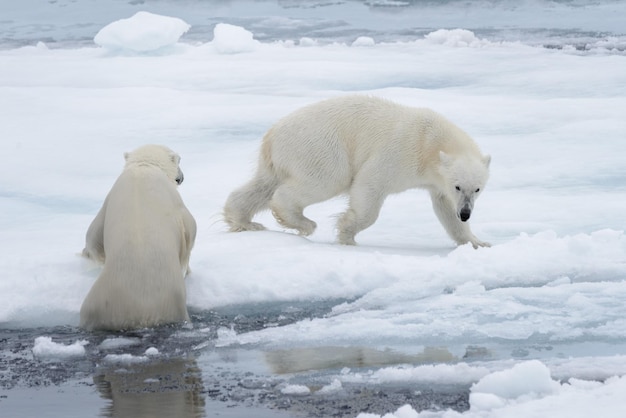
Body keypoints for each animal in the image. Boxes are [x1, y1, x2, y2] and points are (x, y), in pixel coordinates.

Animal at [79, 145, 195, 332]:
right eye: (180, 160)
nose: (182, 177)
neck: (143, 167)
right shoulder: (174, 200)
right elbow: (190, 228)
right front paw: (188, 269)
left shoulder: (110, 197)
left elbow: (94, 233)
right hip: (172, 303)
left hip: (95, 308)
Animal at [222, 95, 490, 248]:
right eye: (458, 186)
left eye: (477, 189)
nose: (465, 213)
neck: (431, 142)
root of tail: (272, 135)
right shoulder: (402, 153)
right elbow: (369, 184)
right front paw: (347, 233)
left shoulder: (437, 182)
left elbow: (445, 208)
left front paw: (478, 241)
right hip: (321, 148)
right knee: (321, 182)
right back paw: (303, 223)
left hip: (277, 160)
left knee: (263, 184)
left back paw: (244, 221)